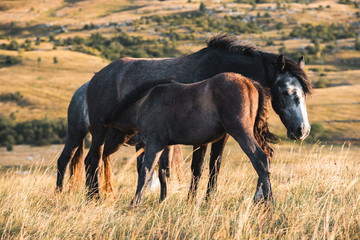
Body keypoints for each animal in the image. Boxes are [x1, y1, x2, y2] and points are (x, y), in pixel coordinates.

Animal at [85, 33, 312, 199]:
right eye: (286, 91)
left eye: (304, 93)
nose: (302, 130)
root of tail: (96, 77)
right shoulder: (201, 137)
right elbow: (198, 168)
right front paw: (192, 201)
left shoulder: (221, 135)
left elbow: (214, 167)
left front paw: (207, 201)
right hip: (101, 132)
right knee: (93, 160)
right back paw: (94, 198)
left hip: (115, 134)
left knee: (95, 160)